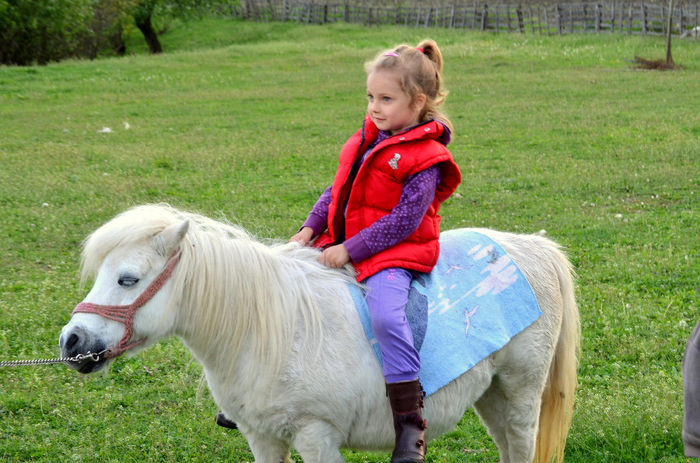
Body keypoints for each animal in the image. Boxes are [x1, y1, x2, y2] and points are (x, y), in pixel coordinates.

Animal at [60, 206, 576, 463]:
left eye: (128, 279)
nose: (72, 341)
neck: (269, 331)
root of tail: (535, 247)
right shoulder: (262, 438)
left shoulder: (316, 437)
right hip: (491, 394)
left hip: (522, 391)